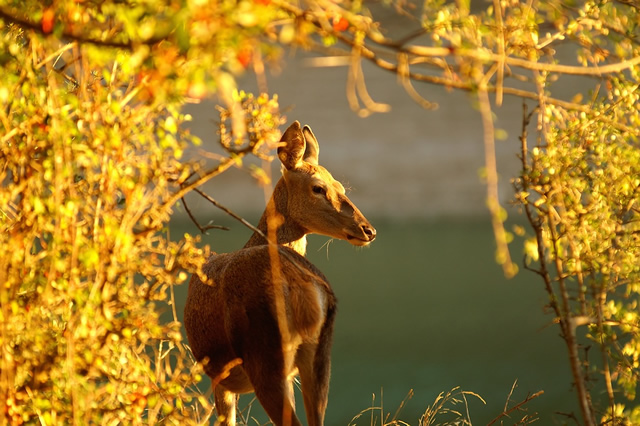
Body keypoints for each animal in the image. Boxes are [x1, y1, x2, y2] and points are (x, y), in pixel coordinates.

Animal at [184, 120, 376, 426]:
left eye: (340, 186)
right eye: (319, 188)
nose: (368, 230)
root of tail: (306, 289)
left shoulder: (219, 378)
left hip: (266, 353)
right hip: (318, 357)